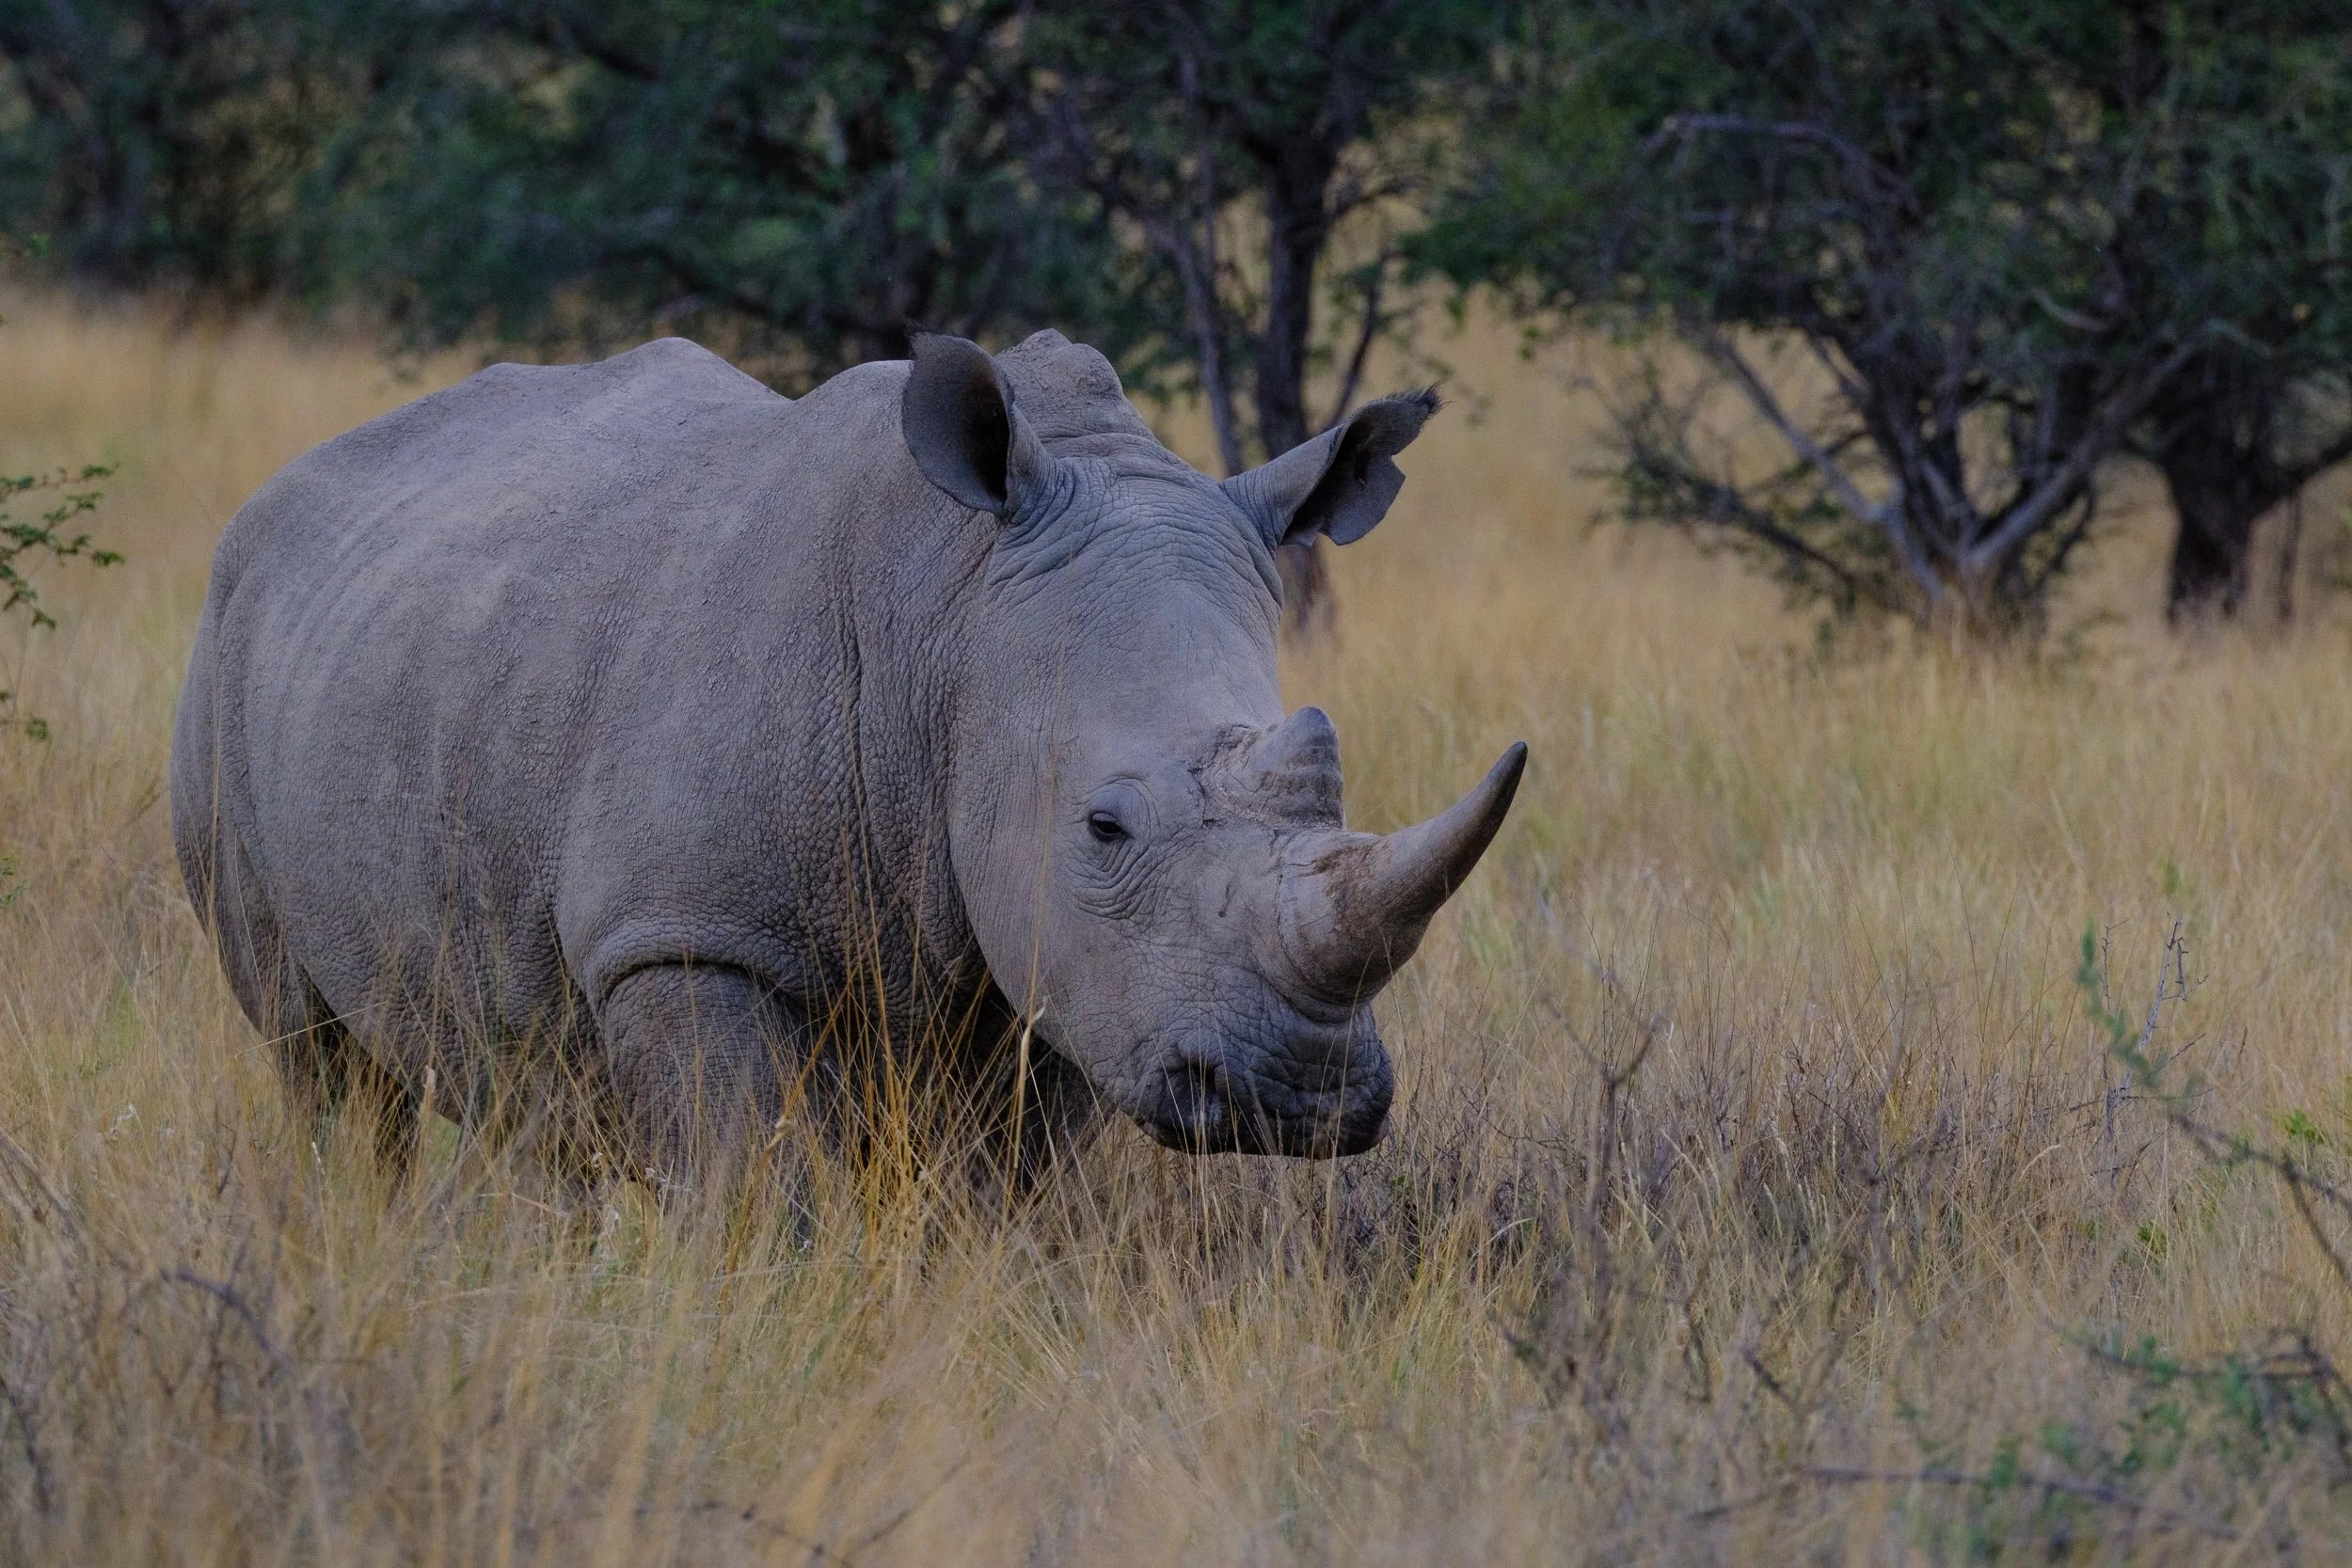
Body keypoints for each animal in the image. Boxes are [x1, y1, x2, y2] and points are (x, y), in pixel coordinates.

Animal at [170, 328, 1524, 1188]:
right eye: (1105, 826)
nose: (1300, 1099)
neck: (953, 615)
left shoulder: (1072, 976)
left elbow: (985, 1207)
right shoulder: (691, 934)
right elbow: (767, 1199)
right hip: (231, 635)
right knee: (320, 1064)